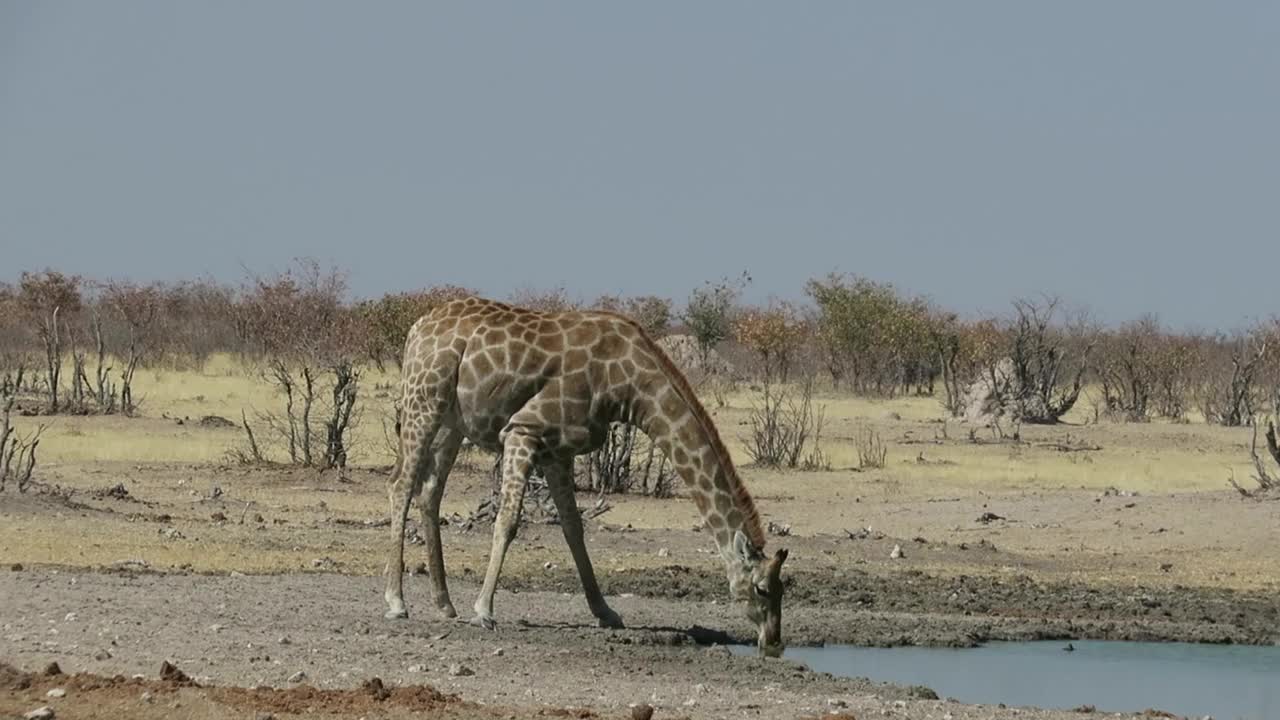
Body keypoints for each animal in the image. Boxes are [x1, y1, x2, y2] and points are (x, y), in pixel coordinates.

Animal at [378, 294, 788, 653]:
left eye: (785, 589)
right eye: (762, 589)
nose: (773, 642)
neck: (626, 385)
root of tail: (416, 328)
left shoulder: (558, 450)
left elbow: (574, 529)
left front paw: (606, 612)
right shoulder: (523, 430)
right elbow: (508, 520)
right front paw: (485, 611)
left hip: (453, 422)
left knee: (430, 490)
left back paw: (443, 603)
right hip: (423, 401)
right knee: (400, 485)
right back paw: (397, 602)